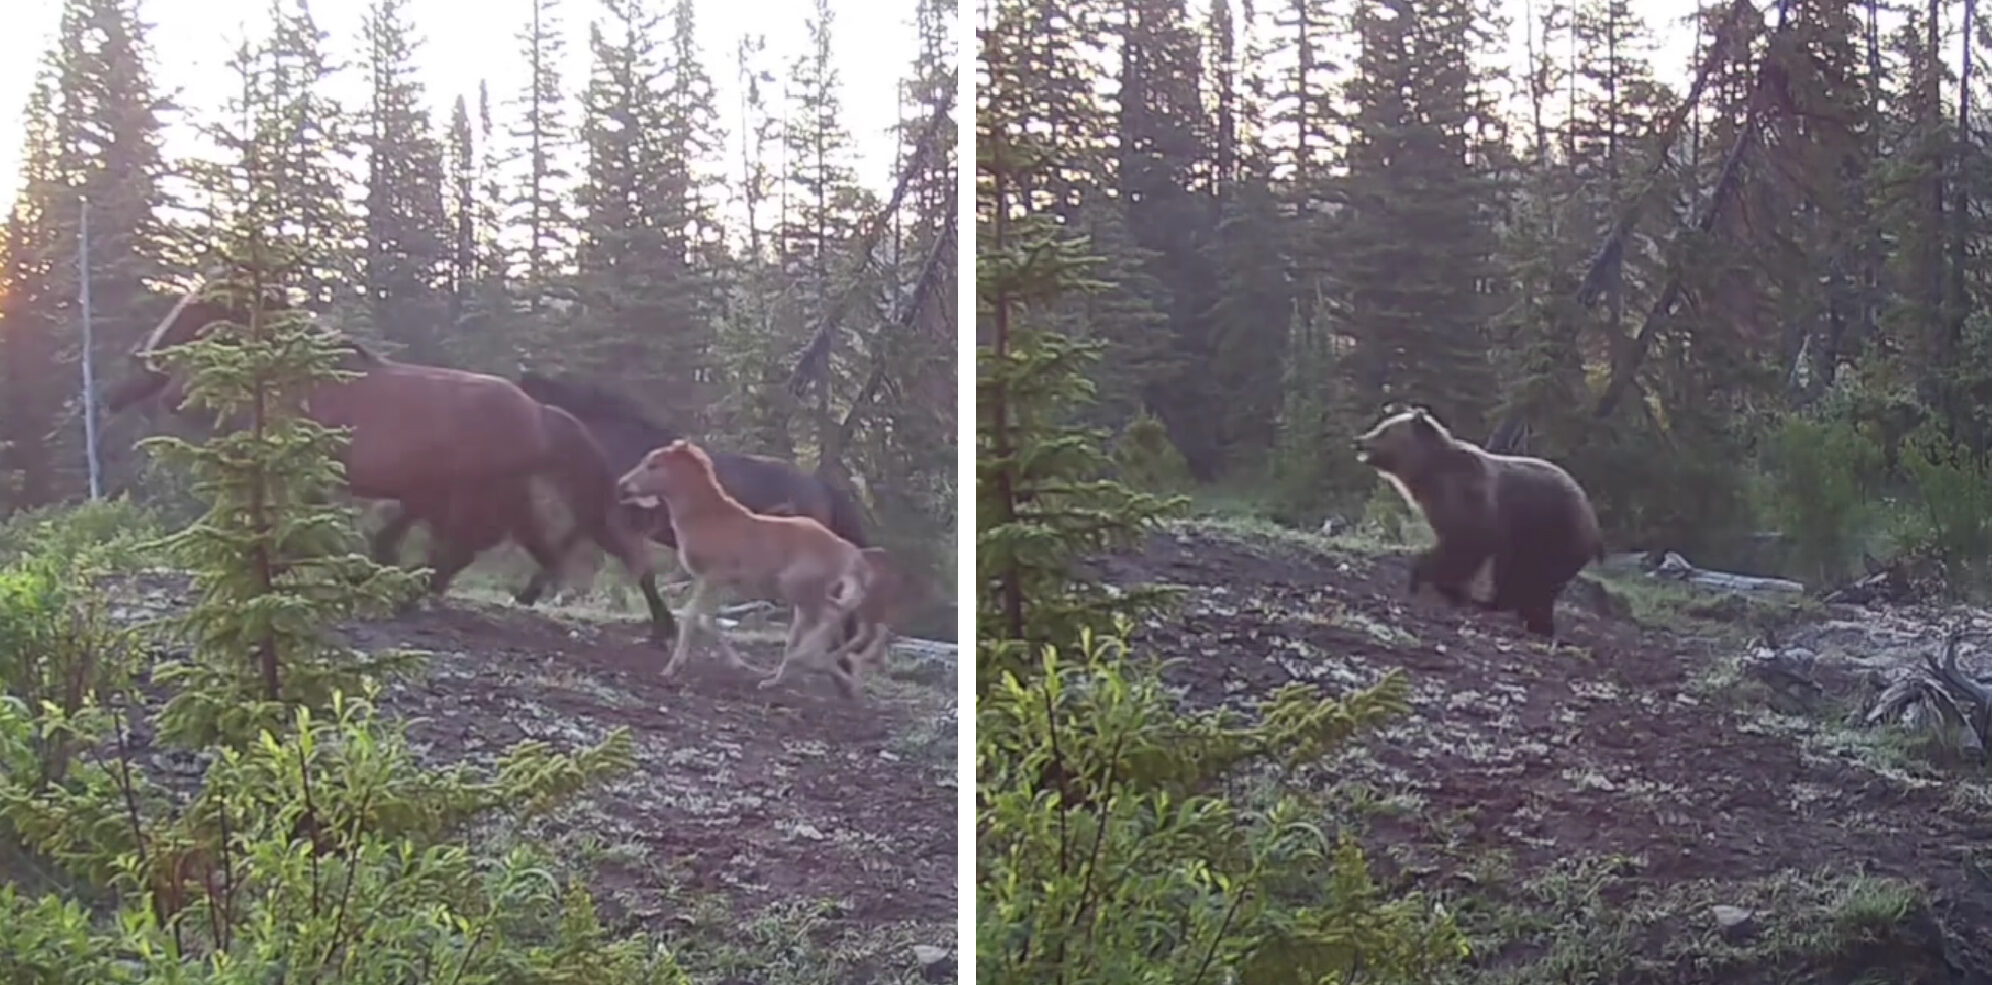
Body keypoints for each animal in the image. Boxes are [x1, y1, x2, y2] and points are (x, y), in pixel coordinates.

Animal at [103, 272, 680, 640]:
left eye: (199, 306)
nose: (146, 361)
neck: (303, 381)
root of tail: (540, 413)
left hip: (479, 494)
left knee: (487, 548)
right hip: (491, 494)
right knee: (521, 547)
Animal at [1352, 402, 1600, 640]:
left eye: (1384, 429)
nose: (1359, 440)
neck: (1429, 475)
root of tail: (1591, 515)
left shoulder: (1471, 501)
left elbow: (1466, 543)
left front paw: (1426, 576)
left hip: (1552, 532)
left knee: (1530, 576)